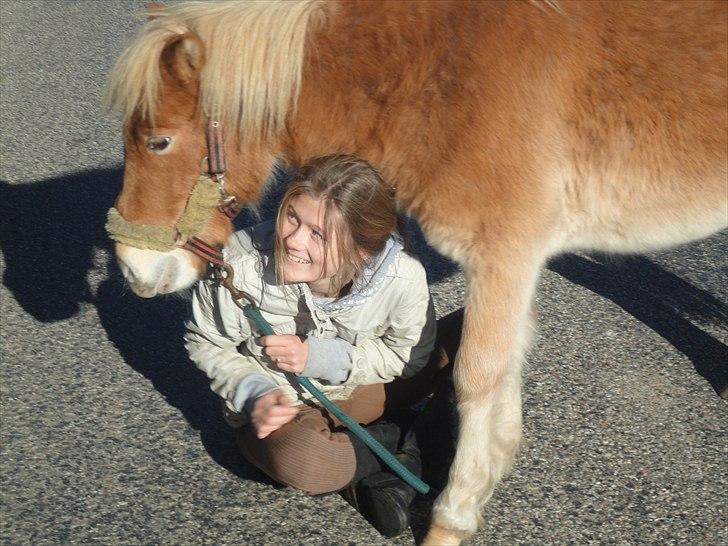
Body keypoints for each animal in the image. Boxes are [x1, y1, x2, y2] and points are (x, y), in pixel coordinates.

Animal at [106, 2, 728, 540]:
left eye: (159, 140)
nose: (135, 270)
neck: (438, 71)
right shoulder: (512, 262)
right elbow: (505, 367)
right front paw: (487, 474)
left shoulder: (505, 252)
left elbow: (478, 374)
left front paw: (453, 517)